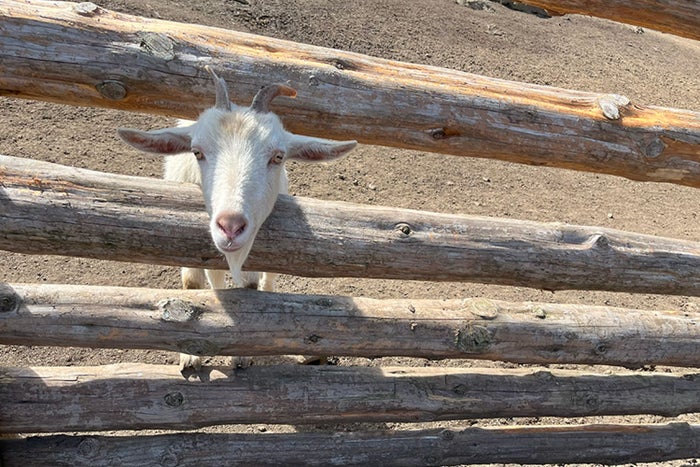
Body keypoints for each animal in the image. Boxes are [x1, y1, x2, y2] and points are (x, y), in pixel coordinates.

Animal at [117, 68, 356, 370]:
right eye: (197, 152)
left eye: (278, 156)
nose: (230, 226)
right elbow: (201, 287)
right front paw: (192, 355)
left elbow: (250, 288)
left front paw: (242, 354)